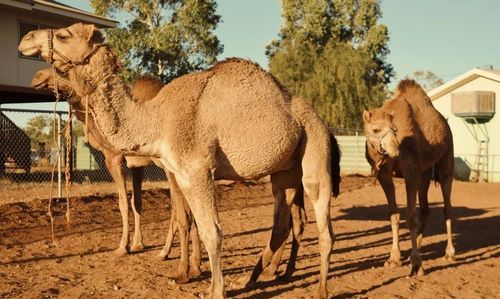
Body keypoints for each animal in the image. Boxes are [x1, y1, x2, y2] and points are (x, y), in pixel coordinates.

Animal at [31, 68, 201, 284]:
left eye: (61, 69)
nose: (37, 77)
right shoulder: (137, 164)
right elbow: (137, 202)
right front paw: (138, 244)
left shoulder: (114, 157)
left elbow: (123, 202)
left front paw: (123, 247)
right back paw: (181, 259)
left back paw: (178, 260)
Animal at [362, 79, 456, 276]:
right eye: (375, 129)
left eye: (395, 129)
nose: (395, 149)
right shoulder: (384, 175)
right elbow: (394, 215)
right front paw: (394, 258)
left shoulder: (411, 172)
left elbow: (410, 216)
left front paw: (417, 265)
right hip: (425, 171)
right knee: (425, 209)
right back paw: (416, 249)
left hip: (446, 160)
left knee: (447, 207)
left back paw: (449, 253)